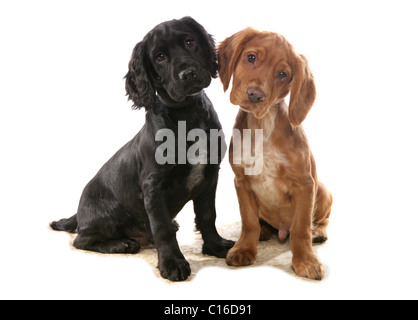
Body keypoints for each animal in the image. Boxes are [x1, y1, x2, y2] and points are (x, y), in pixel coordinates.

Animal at [50, 18, 233, 282]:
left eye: (190, 42)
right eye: (159, 57)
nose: (188, 74)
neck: (186, 114)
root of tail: (78, 212)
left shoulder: (210, 176)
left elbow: (208, 215)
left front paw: (216, 247)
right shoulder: (153, 184)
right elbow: (162, 228)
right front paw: (172, 263)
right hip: (109, 215)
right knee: (81, 240)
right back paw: (121, 244)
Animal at [219, 29, 334, 280]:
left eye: (282, 74)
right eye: (251, 58)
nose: (255, 95)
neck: (262, 127)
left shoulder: (305, 184)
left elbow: (300, 229)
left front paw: (306, 261)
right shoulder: (241, 181)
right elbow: (249, 221)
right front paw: (244, 248)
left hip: (322, 190)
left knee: (322, 219)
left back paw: (318, 232)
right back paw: (264, 231)